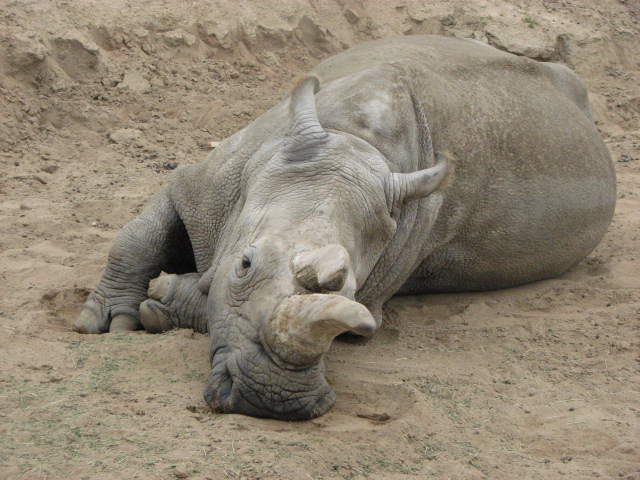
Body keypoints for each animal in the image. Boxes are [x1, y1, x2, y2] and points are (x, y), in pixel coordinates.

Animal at [75, 36, 616, 420]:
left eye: (354, 292)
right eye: (245, 264)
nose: (271, 401)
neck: (351, 140)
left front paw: (162, 302)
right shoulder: (207, 183)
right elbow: (137, 237)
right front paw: (110, 323)